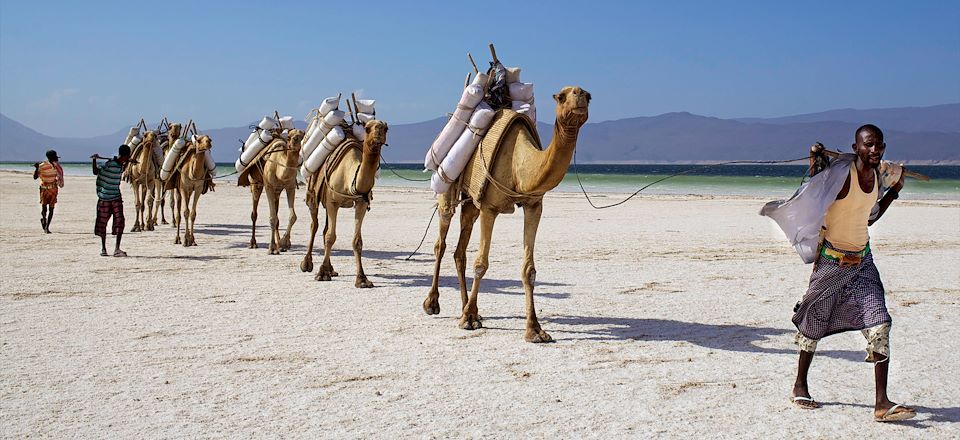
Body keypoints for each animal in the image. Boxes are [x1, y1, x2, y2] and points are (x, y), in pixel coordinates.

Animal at [300, 119, 390, 288]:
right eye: (367, 128)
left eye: (386, 128)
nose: (378, 133)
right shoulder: (332, 201)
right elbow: (330, 237)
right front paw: (322, 274)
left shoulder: (361, 203)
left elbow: (357, 241)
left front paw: (362, 279)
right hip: (313, 194)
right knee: (314, 225)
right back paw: (307, 264)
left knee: (324, 229)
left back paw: (331, 269)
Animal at [422, 84, 588, 342]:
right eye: (562, 96)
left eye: (589, 96)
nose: (581, 94)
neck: (518, 166)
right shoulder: (489, 208)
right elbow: (481, 263)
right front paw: (468, 320)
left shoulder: (534, 206)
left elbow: (529, 270)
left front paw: (535, 330)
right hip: (447, 188)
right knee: (441, 241)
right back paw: (433, 304)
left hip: (472, 204)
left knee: (460, 250)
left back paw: (467, 309)